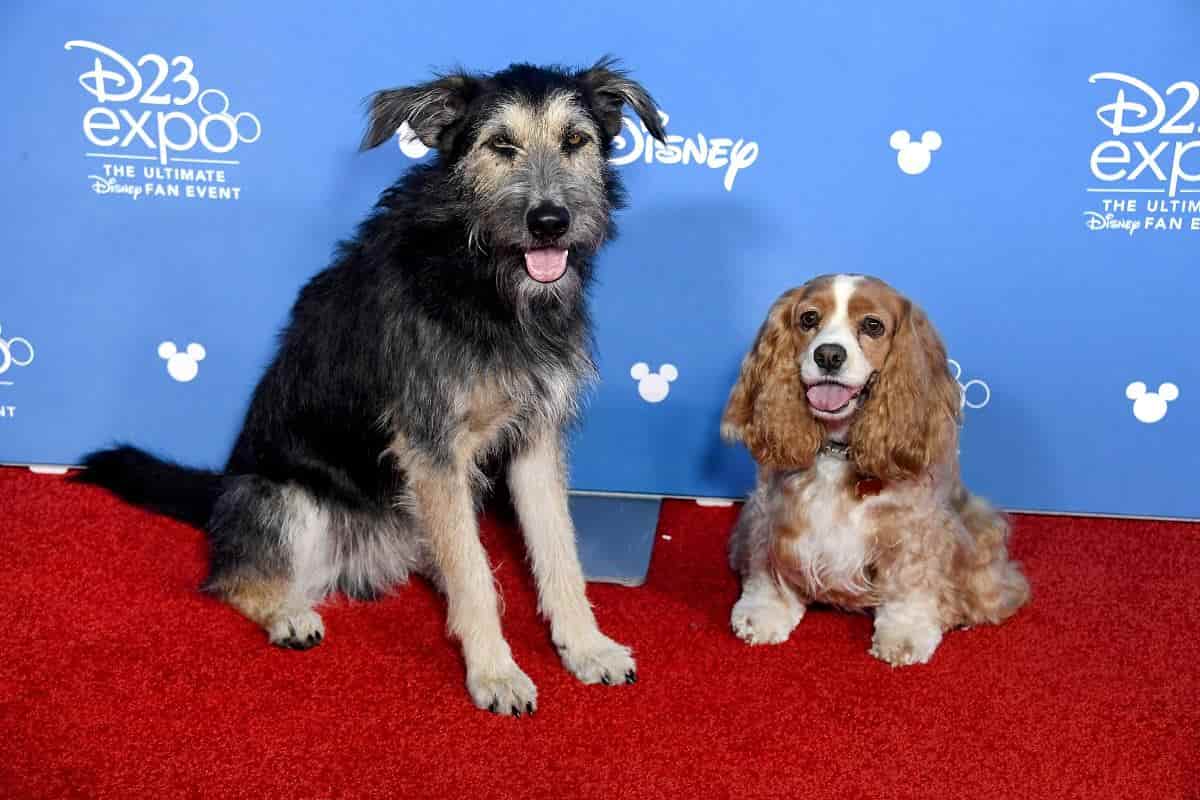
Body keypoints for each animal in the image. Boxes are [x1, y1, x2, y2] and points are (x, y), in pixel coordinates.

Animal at [77, 58, 666, 715]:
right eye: (500, 146)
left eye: (575, 141)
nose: (549, 222)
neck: (486, 281)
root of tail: (221, 489)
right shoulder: (432, 448)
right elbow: (473, 575)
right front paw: (494, 671)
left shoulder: (535, 438)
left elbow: (560, 553)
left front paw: (585, 646)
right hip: (284, 500)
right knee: (232, 577)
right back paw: (287, 611)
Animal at [721, 274, 1029, 666]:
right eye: (808, 318)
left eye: (872, 325)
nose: (829, 355)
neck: (837, 450)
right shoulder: (772, 512)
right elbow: (767, 563)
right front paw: (765, 611)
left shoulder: (914, 527)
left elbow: (911, 580)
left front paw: (906, 633)